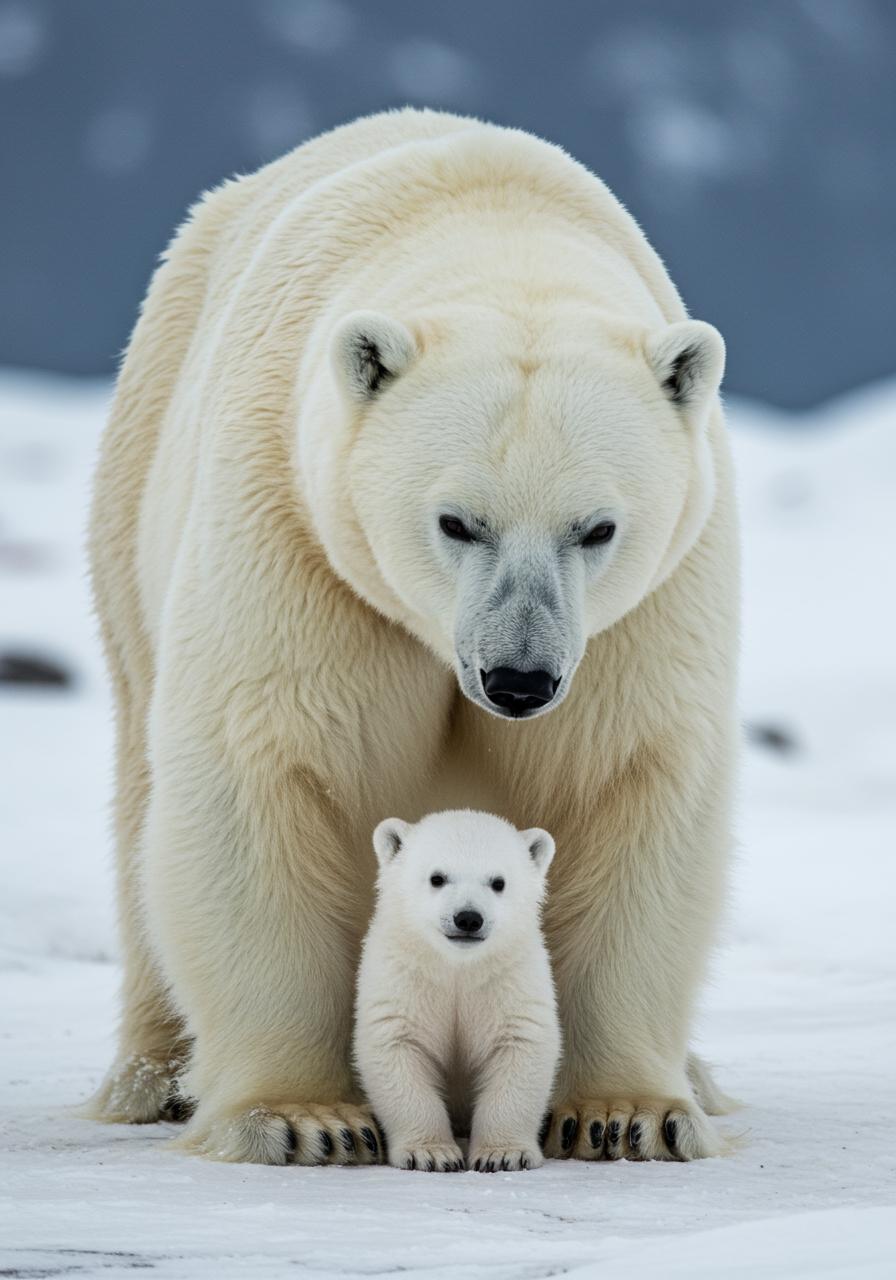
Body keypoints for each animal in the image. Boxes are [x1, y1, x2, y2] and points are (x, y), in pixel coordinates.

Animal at [355, 810, 561, 1172]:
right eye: (437, 878)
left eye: (498, 882)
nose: (468, 918)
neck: (457, 966)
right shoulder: (404, 975)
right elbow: (397, 1045)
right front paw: (430, 1153)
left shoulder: (509, 976)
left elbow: (520, 1044)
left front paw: (503, 1154)